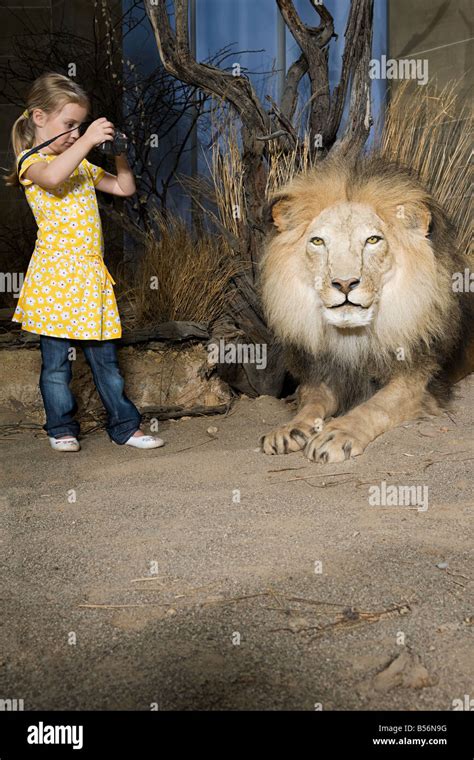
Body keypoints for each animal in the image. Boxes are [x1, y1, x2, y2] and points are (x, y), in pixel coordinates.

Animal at [260, 155, 474, 464]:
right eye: (318, 242)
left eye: (373, 240)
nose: (344, 283)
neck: (353, 335)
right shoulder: (324, 374)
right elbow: (311, 401)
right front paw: (289, 428)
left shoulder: (417, 380)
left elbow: (375, 406)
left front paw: (337, 433)